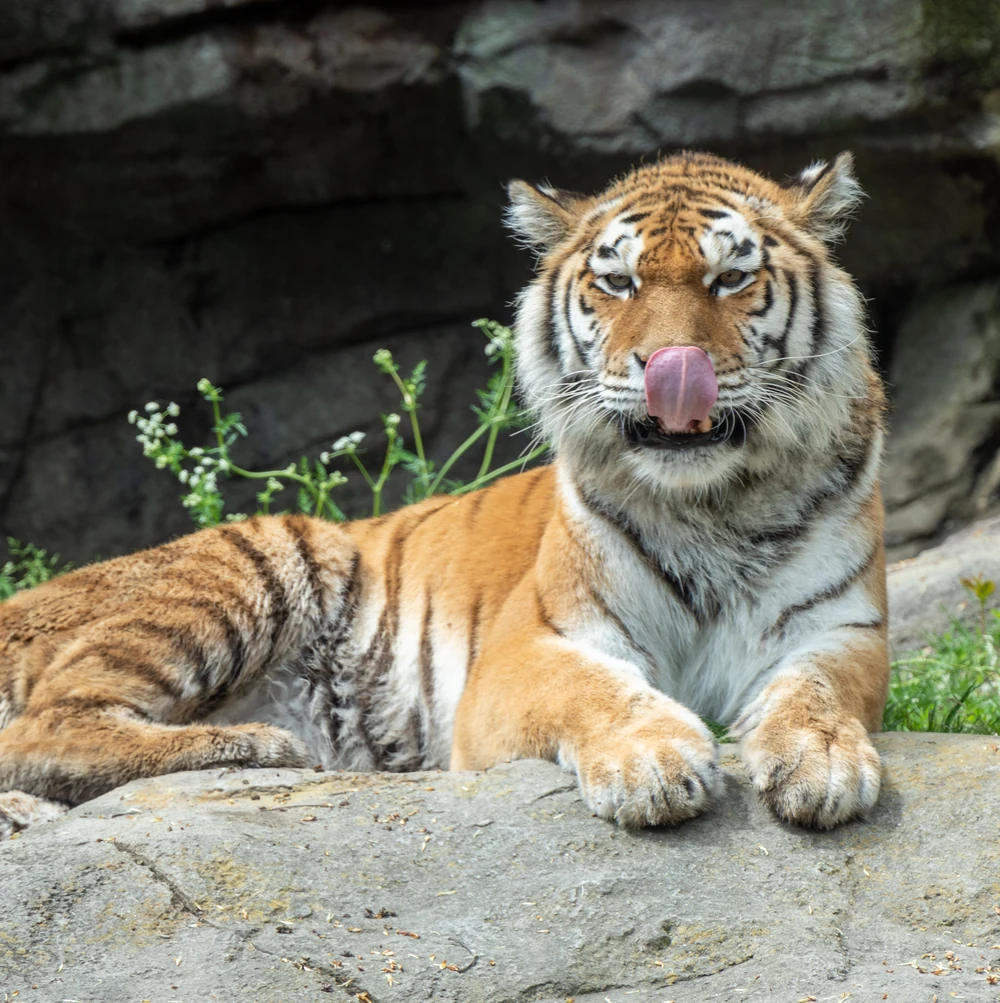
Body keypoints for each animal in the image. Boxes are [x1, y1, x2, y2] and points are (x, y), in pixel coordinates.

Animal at [0, 151, 887, 838]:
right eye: (619, 283)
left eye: (731, 277)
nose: (668, 366)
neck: (712, 504)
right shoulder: (533, 644)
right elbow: (595, 690)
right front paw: (654, 760)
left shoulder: (841, 627)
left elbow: (816, 691)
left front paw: (823, 762)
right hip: (258, 557)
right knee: (44, 726)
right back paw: (258, 746)